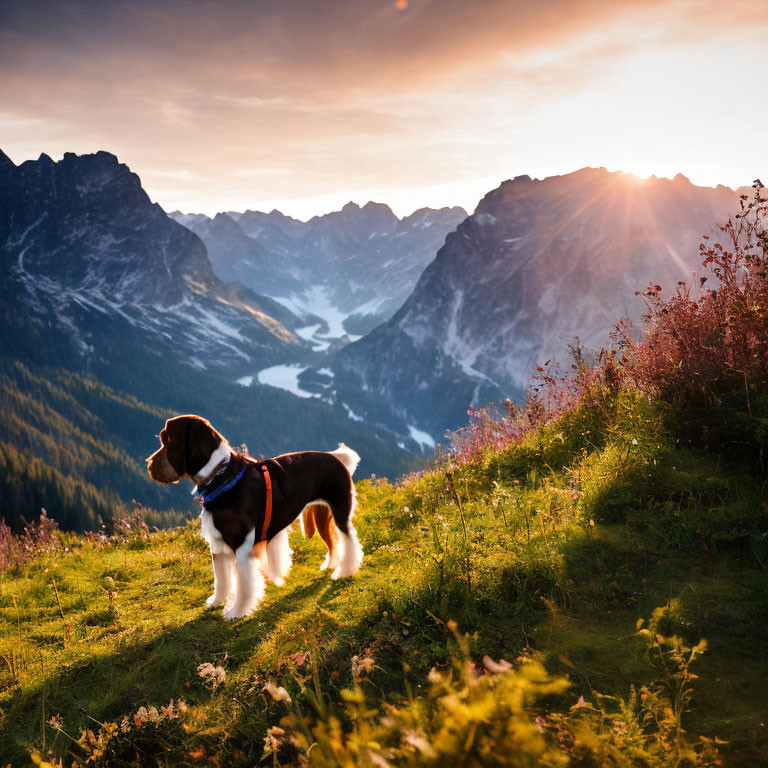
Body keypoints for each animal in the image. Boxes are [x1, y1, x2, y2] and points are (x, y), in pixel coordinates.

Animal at [146, 414, 364, 616]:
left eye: (167, 440)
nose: (148, 464)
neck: (222, 479)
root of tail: (336, 457)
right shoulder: (218, 545)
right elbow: (221, 579)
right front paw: (217, 602)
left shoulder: (242, 546)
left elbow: (244, 585)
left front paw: (236, 612)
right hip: (321, 514)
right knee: (333, 541)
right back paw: (331, 565)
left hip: (340, 510)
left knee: (349, 539)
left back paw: (344, 571)